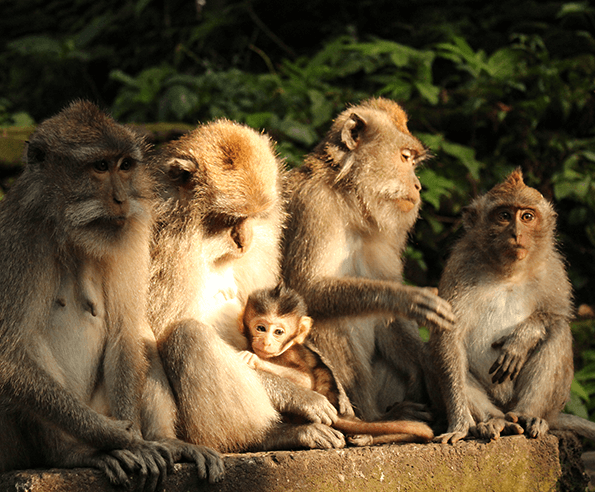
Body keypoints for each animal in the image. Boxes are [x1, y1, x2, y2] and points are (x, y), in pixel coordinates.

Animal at [0, 100, 224, 488]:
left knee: (141, 333)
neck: (68, 232)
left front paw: (144, 441)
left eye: (125, 165)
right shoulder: (20, 236)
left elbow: (126, 330)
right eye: (100, 167)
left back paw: (165, 440)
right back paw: (76, 454)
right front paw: (121, 439)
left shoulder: (133, 229)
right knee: (28, 345)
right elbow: (9, 356)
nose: (121, 199)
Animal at [149, 119, 344, 454]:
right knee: (187, 335)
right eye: (230, 218)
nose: (244, 239)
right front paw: (300, 396)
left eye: (255, 215)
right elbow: (156, 333)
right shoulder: (163, 248)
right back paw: (267, 435)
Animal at [240, 282, 436, 444]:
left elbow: (306, 380)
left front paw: (254, 359)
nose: (265, 342)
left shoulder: (291, 353)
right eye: (261, 328)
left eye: (278, 332)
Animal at [282, 97, 454, 422]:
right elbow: (304, 291)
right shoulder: (315, 207)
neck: (349, 200)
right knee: (327, 319)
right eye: (405, 157)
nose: (418, 185)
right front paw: (406, 299)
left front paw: (425, 364)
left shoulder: (386, 235)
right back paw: (375, 419)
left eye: (414, 161)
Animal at [430, 169, 595, 442]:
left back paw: (528, 416)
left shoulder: (553, 267)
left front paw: (522, 339)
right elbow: (448, 335)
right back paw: (493, 422)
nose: (517, 233)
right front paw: (459, 424)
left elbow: (557, 315)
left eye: (527, 216)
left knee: (558, 331)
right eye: (504, 216)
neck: (508, 271)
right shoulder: (461, 264)